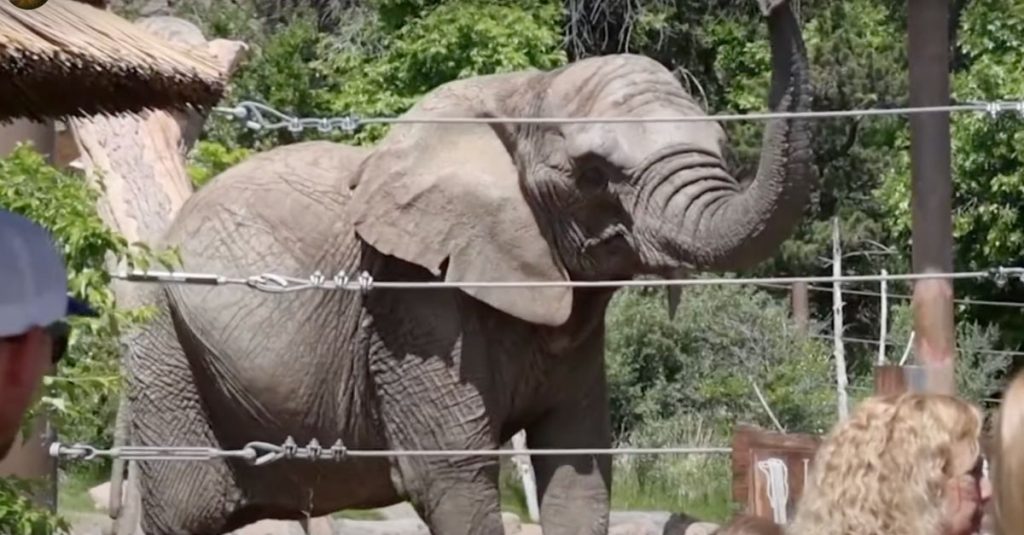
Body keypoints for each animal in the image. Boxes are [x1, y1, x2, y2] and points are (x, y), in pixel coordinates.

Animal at [108, 0, 813, 533]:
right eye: (591, 175)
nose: (772, 4)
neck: (528, 91)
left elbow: (579, 468)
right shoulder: (411, 300)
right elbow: (452, 474)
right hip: (162, 346)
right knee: (191, 510)